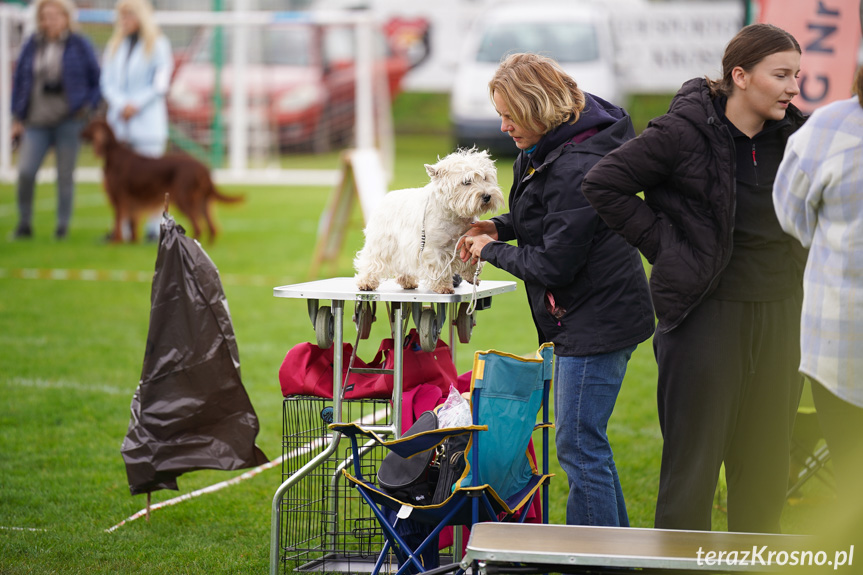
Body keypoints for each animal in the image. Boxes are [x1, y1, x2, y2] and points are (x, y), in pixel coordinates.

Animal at [82, 118, 243, 242]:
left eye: (90, 126)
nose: (80, 133)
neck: (114, 154)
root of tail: (203, 167)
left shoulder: (120, 197)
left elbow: (118, 222)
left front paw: (116, 242)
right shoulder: (132, 200)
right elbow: (132, 223)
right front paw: (132, 242)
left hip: (184, 198)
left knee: (199, 226)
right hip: (202, 200)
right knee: (212, 227)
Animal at [356, 150, 506, 292]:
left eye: (485, 178)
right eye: (466, 182)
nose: (487, 196)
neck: (454, 215)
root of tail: (385, 198)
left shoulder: (465, 240)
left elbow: (469, 260)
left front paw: (471, 276)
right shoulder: (435, 249)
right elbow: (439, 268)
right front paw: (443, 287)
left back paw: (407, 282)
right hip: (382, 243)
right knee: (371, 261)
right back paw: (366, 283)